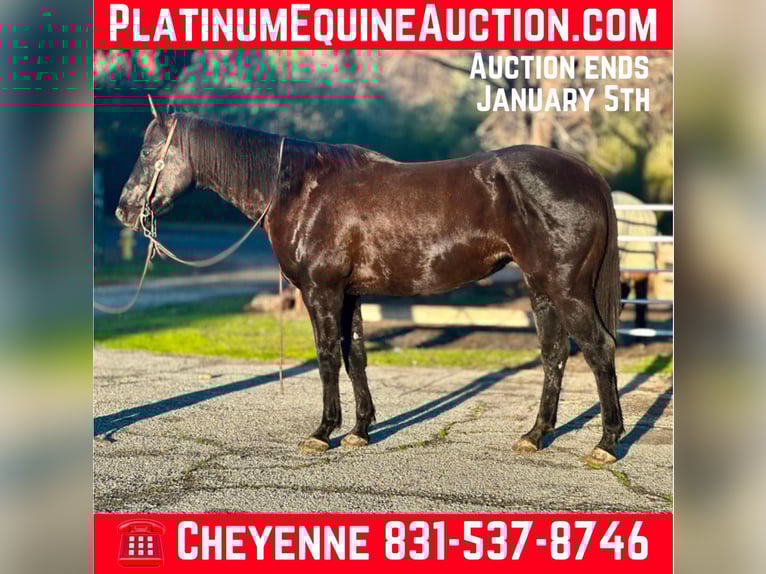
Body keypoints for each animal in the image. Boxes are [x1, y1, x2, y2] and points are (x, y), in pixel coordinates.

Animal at [115, 104, 624, 465]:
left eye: (147, 152)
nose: (123, 210)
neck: (302, 189)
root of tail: (588, 175)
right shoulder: (350, 295)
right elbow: (355, 356)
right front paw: (360, 431)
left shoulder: (321, 292)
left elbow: (326, 359)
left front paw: (323, 432)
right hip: (541, 290)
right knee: (555, 354)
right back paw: (536, 435)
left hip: (566, 289)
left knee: (599, 349)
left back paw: (606, 443)